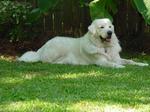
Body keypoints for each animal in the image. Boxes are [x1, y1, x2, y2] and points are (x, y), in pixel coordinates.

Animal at [18, 18, 148, 68]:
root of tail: (42, 47)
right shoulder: (101, 62)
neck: (104, 47)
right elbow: (111, 64)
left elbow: (130, 61)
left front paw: (142, 64)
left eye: (110, 26)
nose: (110, 32)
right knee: (45, 61)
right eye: (102, 27)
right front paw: (120, 67)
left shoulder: (116, 57)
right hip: (54, 50)